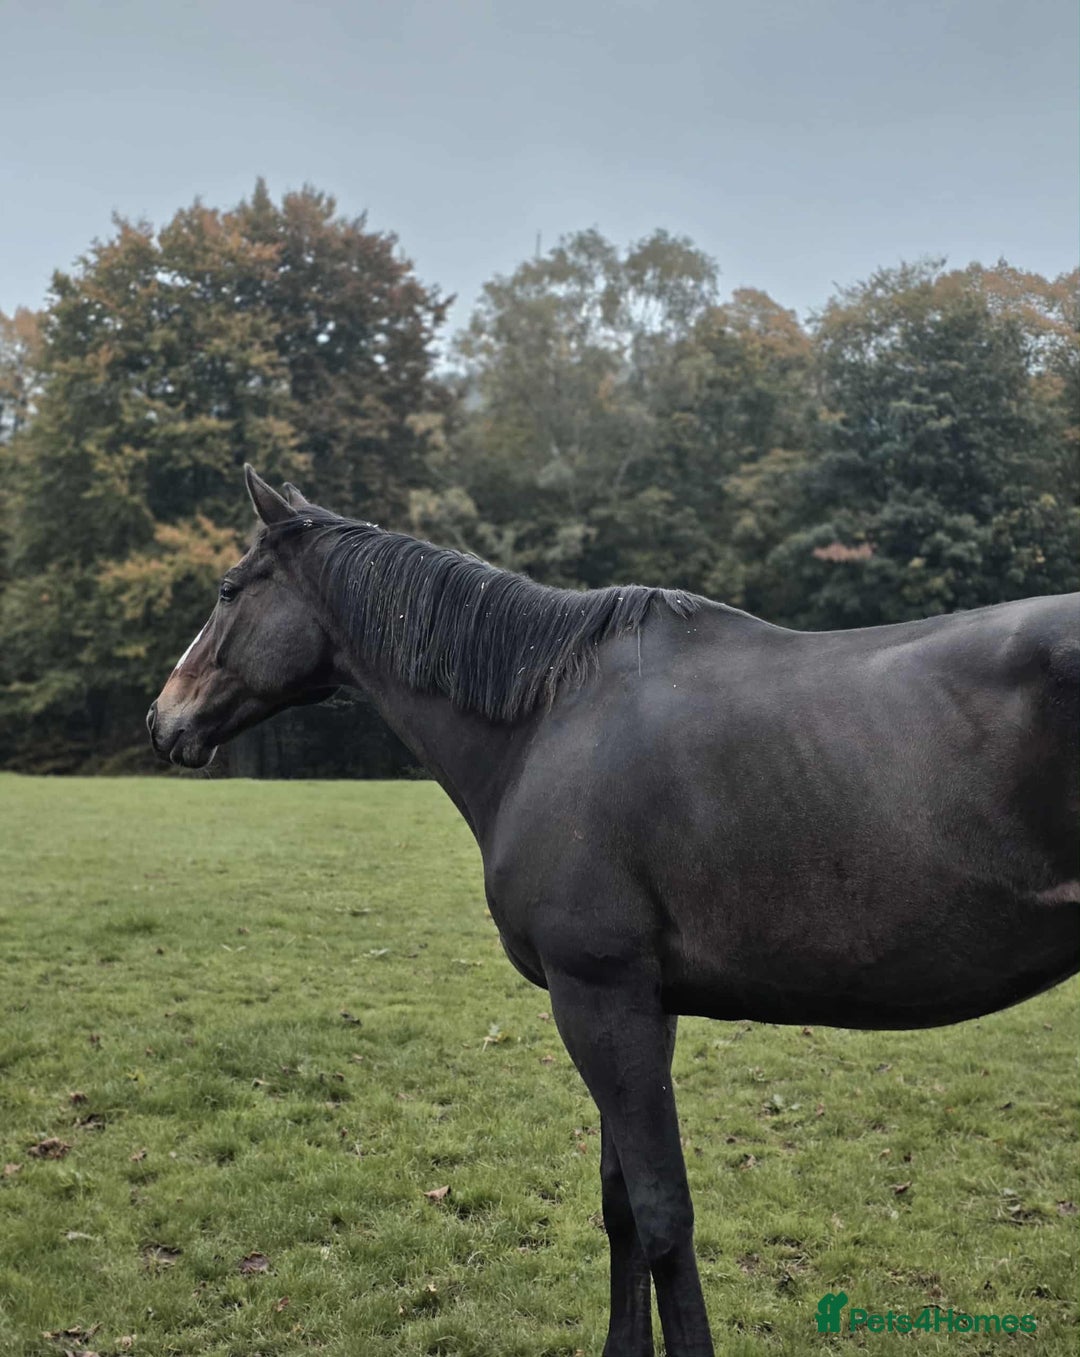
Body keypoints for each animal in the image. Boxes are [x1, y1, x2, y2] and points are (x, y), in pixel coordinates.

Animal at [148, 466, 1080, 1357]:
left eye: (229, 589)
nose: (163, 718)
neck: (549, 717)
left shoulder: (598, 996)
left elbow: (664, 1216)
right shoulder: (636, 1005)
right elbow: (622, 1205)